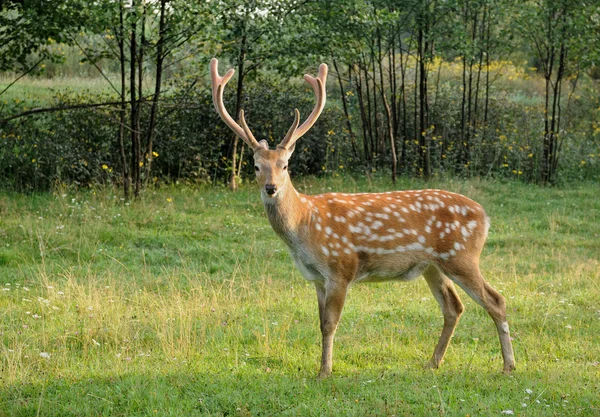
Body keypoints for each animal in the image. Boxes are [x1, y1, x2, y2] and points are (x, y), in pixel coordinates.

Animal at [209, 57, 512, 376]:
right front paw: (322, 367)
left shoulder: (341, 268)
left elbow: (330, 324)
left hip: (461, 255)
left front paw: (325, 372)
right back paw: (433, 362)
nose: (271, 188)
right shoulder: (316, 278)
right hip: (433, 265)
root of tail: (485, 216)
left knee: (496, 300)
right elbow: (320, 323)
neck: (305, 224)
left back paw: (508, 366)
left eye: (285, 165)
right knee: (453, 307)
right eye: (256, 166)